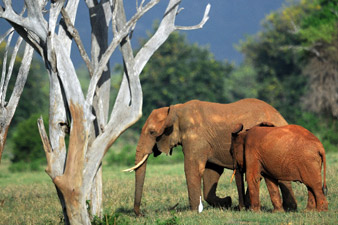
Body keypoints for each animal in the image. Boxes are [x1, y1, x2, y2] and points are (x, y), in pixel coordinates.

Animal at [123, 98, 296, 214]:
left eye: (152, 132)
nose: (140, 214)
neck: (175, 110)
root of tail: (281, 116)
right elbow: (211, 172)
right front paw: (226, 202)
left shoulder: (195, 137)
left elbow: (193, 169)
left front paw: (193, 212)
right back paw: (288, 208)